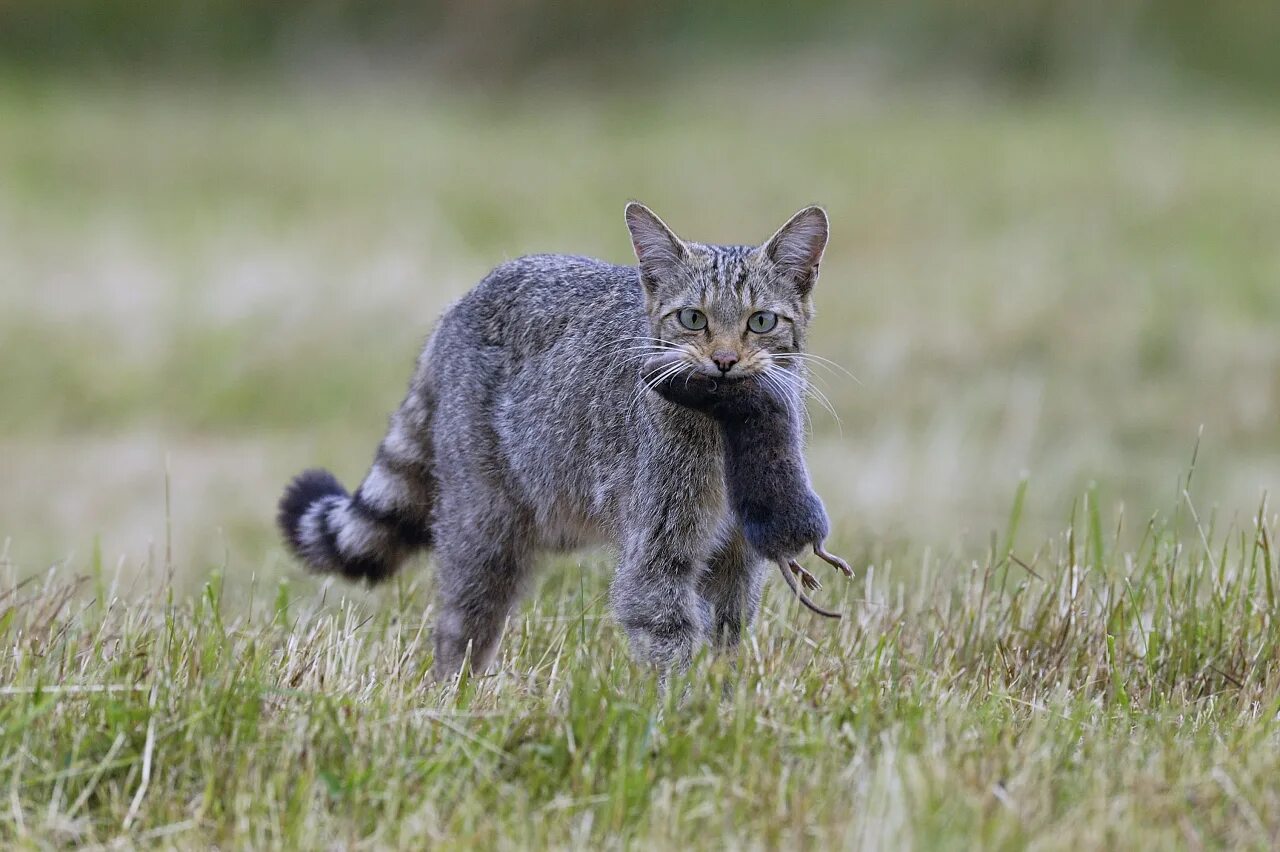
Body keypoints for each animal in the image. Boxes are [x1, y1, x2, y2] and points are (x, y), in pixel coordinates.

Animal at [277, 199, 829, 675]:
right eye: (693, 318)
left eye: (761, 321)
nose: (725, 360)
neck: (724, 429)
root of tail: (457, 308)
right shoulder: (657, 552)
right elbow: (666, 634)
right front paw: (678, 712)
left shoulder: (737, 559)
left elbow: (726, 641)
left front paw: (722, 701)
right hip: (484, 526)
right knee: (461, 629)